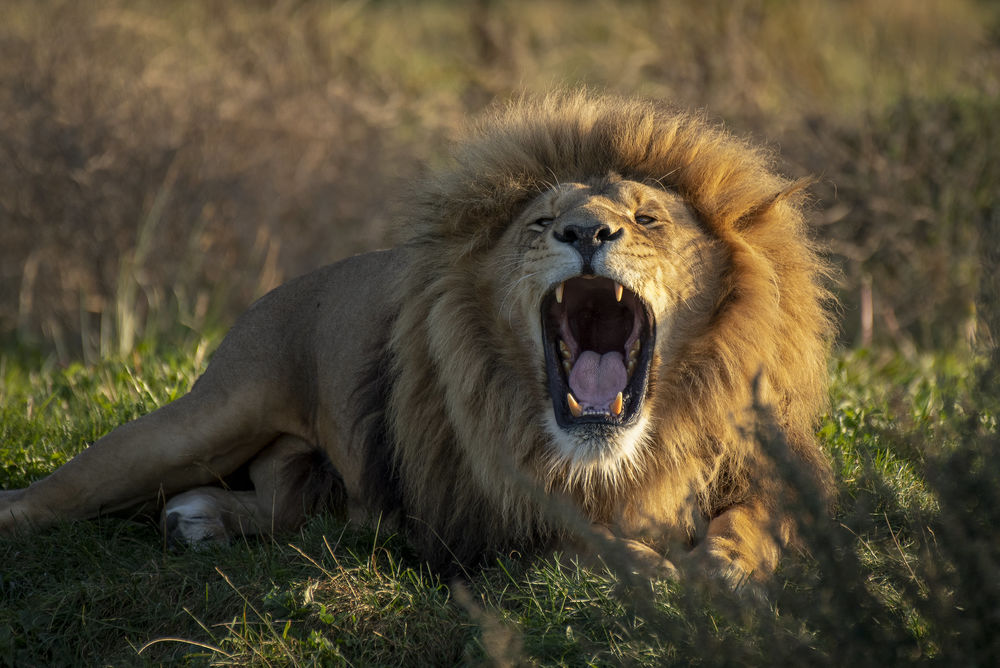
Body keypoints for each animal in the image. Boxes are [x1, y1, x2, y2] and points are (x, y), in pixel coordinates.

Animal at [0, 92, 835, 586]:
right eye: (542, 222)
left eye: (647, 218)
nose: (586, 233)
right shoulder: (488, 514)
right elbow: (586, 537)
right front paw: (656, 572)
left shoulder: (767, 467)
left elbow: (759, 520)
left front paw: (723, 566)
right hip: (207, 417)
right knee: (53, 493)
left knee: (282, 506)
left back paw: (200, 519)